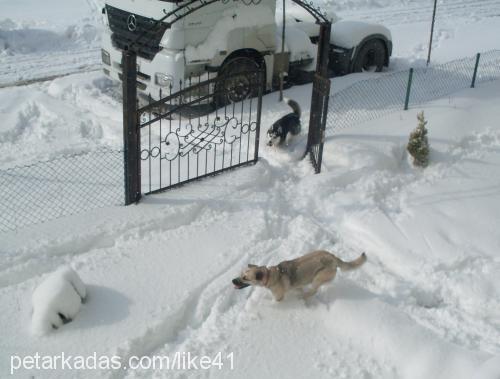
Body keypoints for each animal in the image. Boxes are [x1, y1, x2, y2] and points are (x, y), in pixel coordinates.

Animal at [232, 251, 366, 302]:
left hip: (318, 278)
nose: (233, 280)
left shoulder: (279, 297)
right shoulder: (297, 285)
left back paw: (303, 297)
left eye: (245, 278)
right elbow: (297, 287)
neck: (272, 275)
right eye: (241, 275)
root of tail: (334, 257)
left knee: (314, 290)